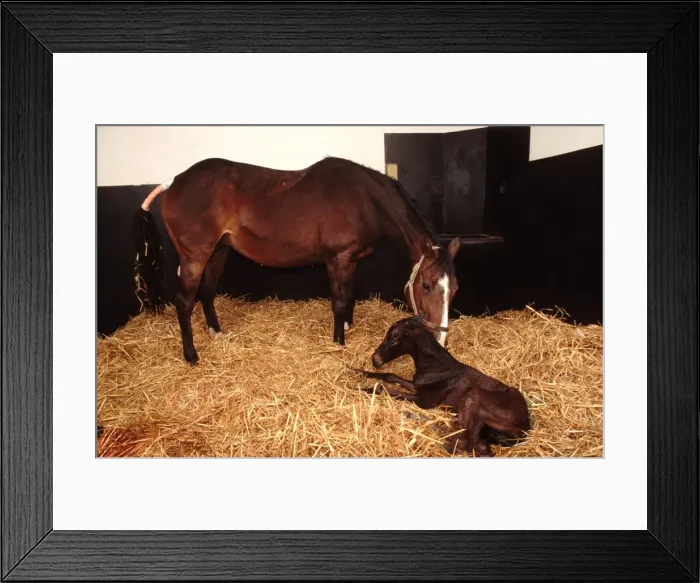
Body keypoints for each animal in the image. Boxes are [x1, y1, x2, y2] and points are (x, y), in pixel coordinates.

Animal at [132, 156, 462, 365]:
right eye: (427, 285)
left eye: (455, 288)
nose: (440, 341)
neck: (362, 198)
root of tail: (173, 182)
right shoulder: (337, 260)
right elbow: (339, 302)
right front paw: (338, 342)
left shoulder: (351, 262)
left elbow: (350, 297)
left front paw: (347, 328)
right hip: (195, 257)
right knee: (184, 302)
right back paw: (191, 355)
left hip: (218, 252)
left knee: (207, 292)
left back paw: (217, 333)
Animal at [354, 315, 530, 457]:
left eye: (394, 337)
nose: (375, 360)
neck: (436, 367)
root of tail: (524, 428)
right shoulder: (417, 387)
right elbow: (390, 376)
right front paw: (357, 371)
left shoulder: (424, 401)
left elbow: (384, 388)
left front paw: (361, 388)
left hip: (473, 395)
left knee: (466, 443)